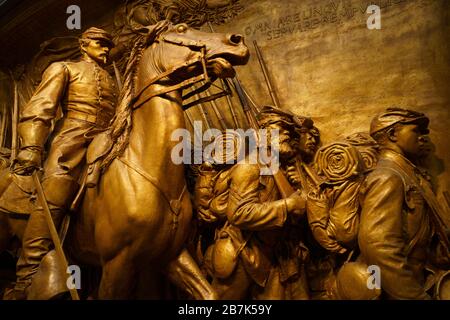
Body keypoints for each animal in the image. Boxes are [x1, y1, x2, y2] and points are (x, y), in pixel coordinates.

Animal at [0, 21, 248, 298]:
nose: (236, 40)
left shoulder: (171, 255)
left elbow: (208, 292)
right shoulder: (117, 264)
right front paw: (28, 158)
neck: (145, 164)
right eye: (182, 29)